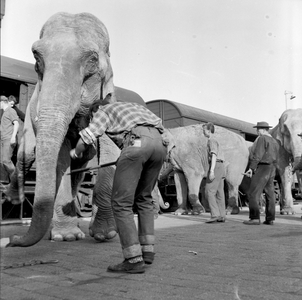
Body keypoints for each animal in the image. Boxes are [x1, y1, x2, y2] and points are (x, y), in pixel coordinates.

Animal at [2, 11, 119, 247]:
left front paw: (105, 234)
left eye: (92, 60)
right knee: (27, 156)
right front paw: (67, 236)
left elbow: (110, 154)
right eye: (36, 57)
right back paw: (14, 199)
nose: (12, 240)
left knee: (80, 169)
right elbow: (60, 157)